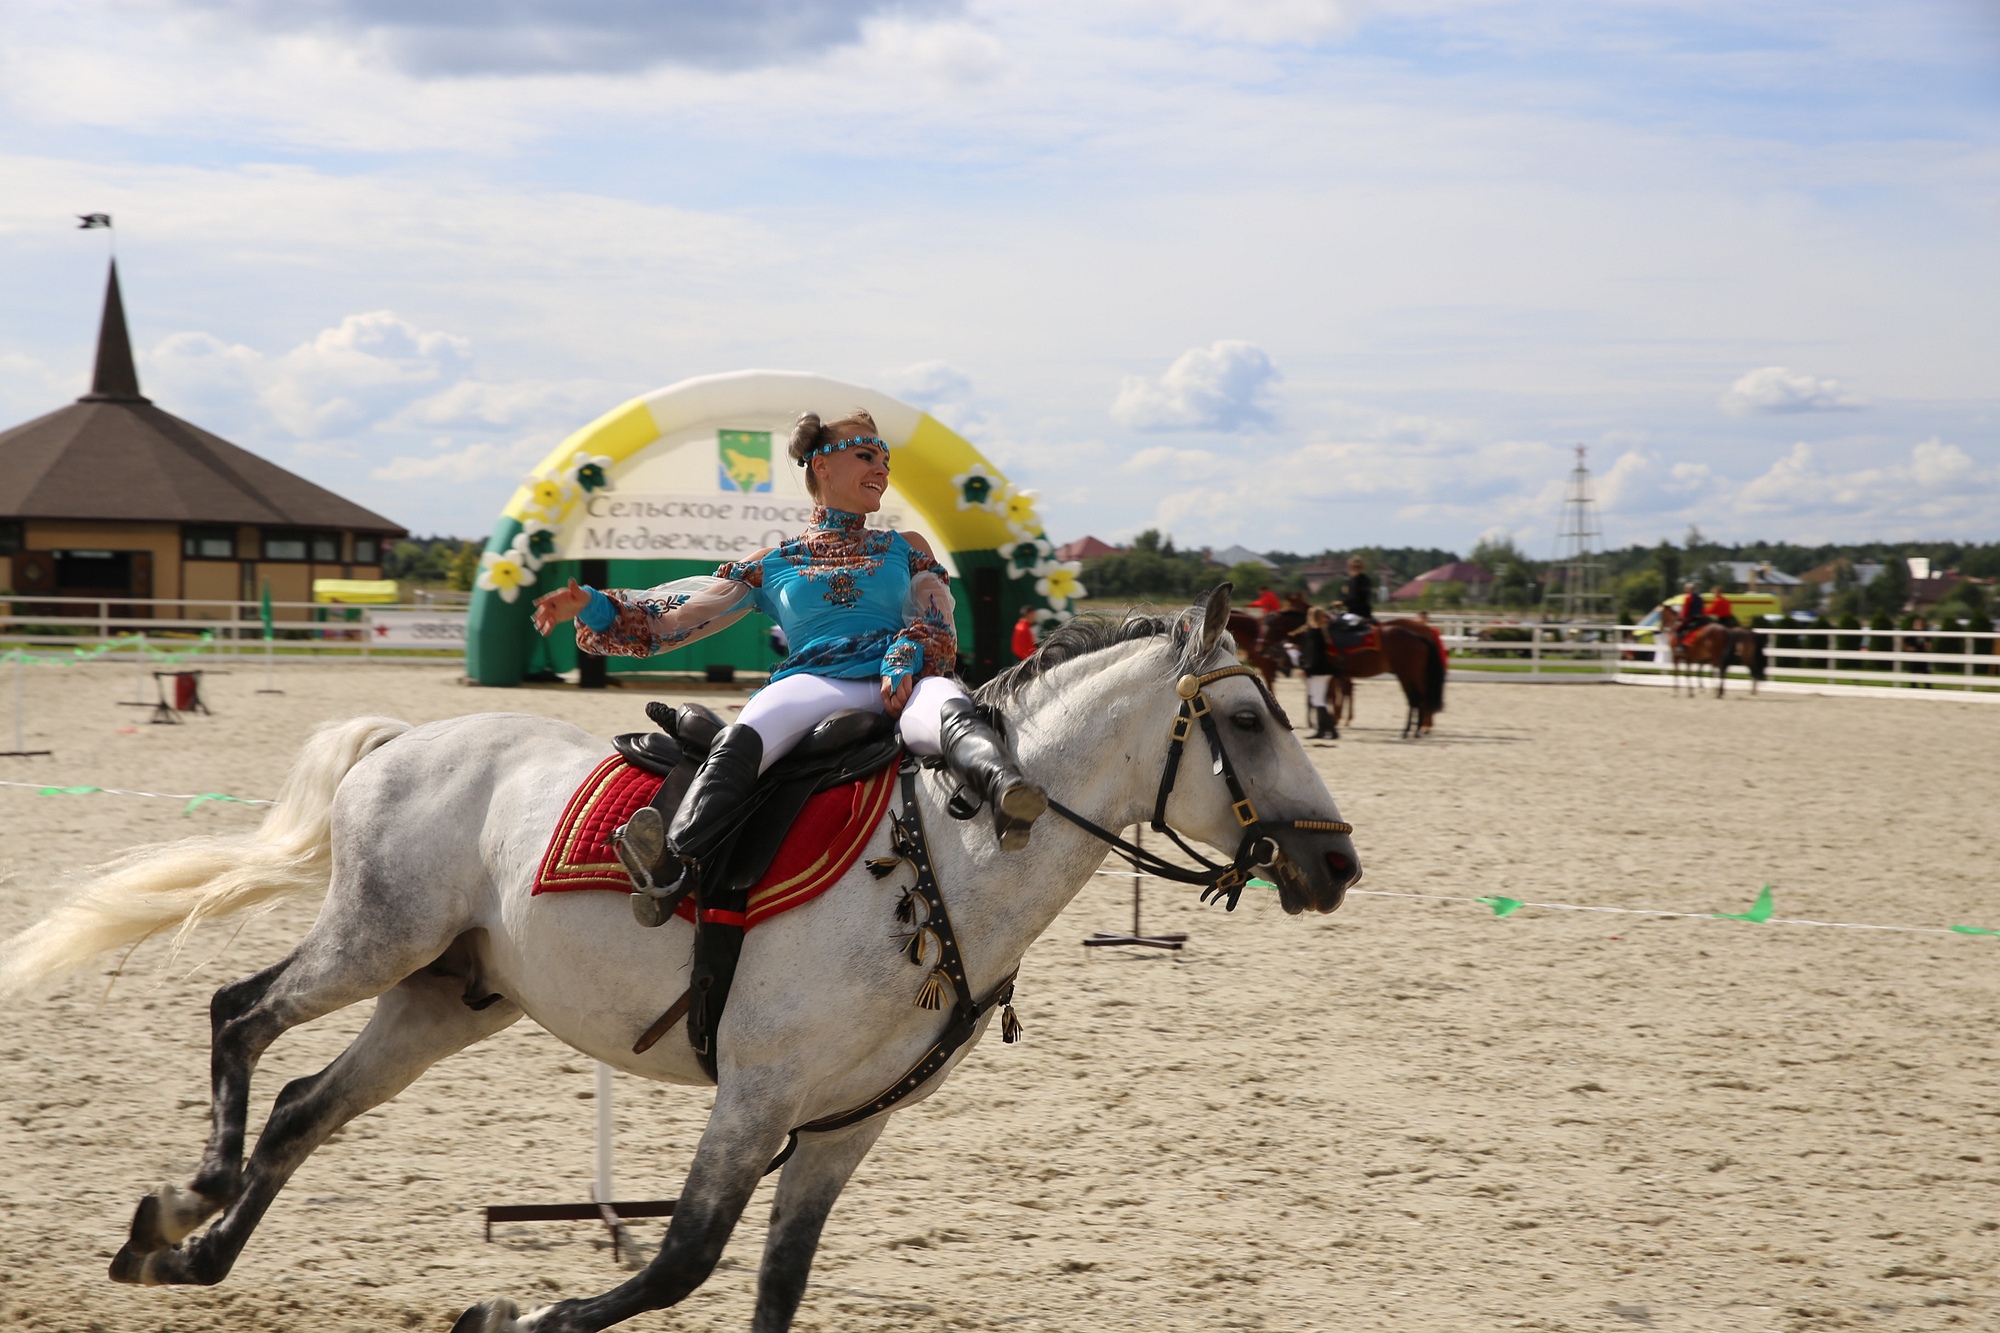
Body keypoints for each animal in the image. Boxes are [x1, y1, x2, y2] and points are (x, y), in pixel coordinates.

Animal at [0, 588, 1360, 1328]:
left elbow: (771, 1287)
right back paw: (189, 1198)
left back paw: (187, 1247)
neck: (951, 860)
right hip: (373, 940)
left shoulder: (846, 1125)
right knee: (240, 1015)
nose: (1336, 863)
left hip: (448, 998)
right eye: (1246, 718)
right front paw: (512, 1312)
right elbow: (679, 1258)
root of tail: (404, 737)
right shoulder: (755, 1097)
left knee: (301, 1104)